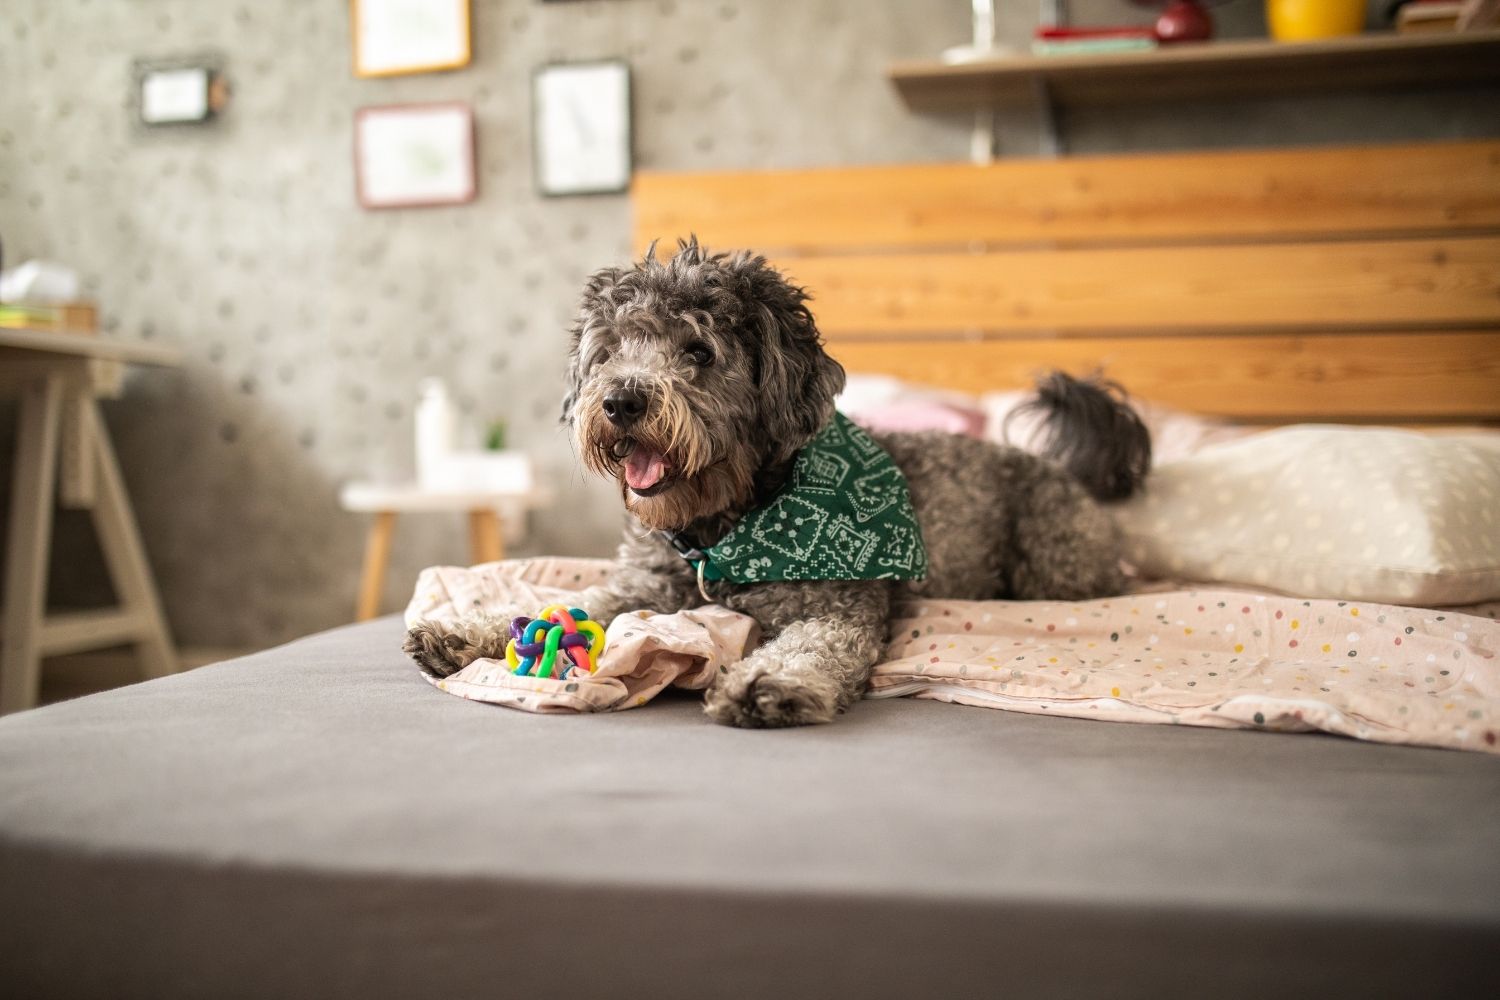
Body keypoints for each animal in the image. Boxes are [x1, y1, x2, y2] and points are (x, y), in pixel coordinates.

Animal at [405, 242, 1152, 728]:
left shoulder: (839, 605)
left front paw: (769, 681)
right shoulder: (643, 586)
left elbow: (814, 646)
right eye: (610, 351)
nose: (620, 401)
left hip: (1052, 558)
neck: (724, 529)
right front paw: (464, 629)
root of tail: (1069, 472)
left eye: (699, 352)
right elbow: (566, 599)